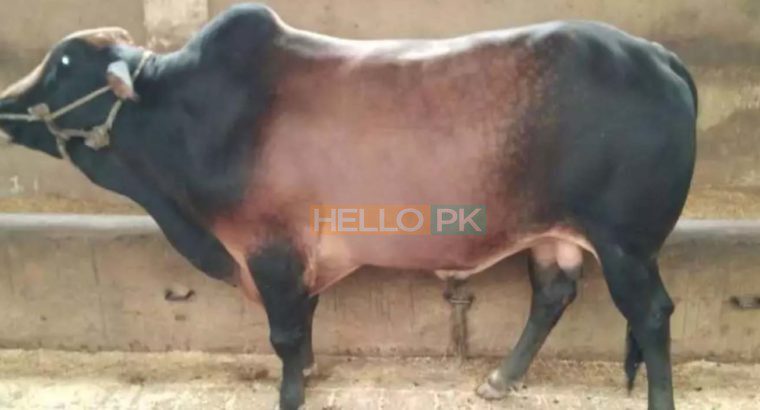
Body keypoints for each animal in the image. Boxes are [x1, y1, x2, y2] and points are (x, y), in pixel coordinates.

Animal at [0, 4, 697, 409]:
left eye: (62, 63)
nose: (6, 103)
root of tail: (655, 54)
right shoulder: (295, 257)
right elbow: (303, 325)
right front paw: (309, 374)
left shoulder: (270, 248)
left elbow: (284, 333)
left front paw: (290, 394)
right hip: (554, 234)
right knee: (553, 296)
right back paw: (500, 379)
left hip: (627, 244)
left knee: (653, 315)